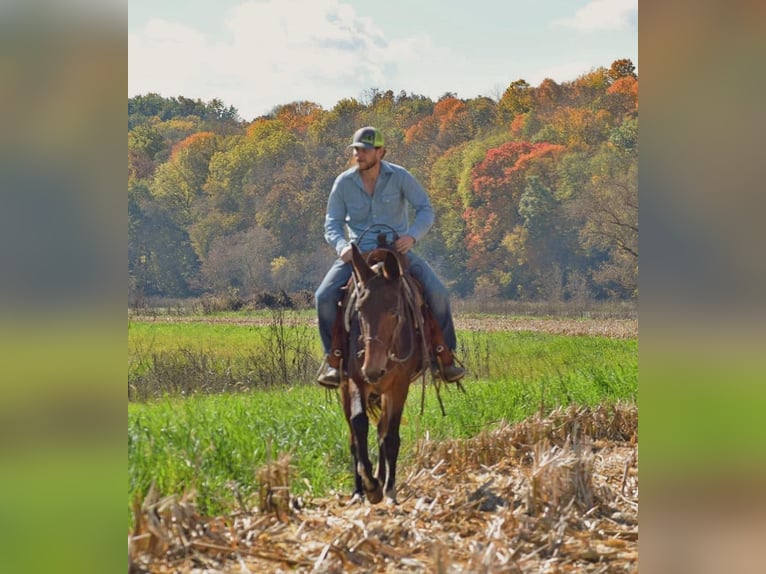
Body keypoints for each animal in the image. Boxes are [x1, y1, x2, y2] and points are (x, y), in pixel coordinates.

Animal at [344, 242, 428, 504]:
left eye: (393, 311)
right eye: (359, 310)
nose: (372, 368)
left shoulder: (399, 386)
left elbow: (390, 435)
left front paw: (389, 489)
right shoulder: (354, 380)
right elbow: (358, 423)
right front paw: (369, 484)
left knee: (383, 430)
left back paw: (383, 480)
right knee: (354, 435)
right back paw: (360, 490)